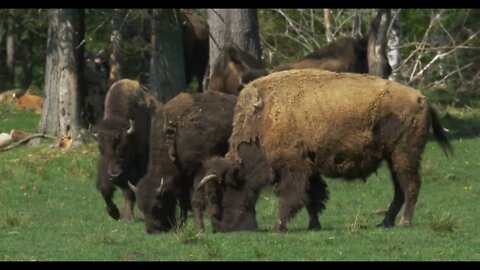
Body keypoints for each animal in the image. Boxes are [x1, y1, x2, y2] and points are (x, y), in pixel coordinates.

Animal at [95, 77, 159, 219]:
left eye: (124, 146)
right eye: (101, 148)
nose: (114, 174)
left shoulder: (136, 167)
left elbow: (129, 190)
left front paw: (127, 217)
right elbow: (105, 189)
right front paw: (114, 213)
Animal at [130, 90, 237, 234]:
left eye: (158, 206)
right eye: (141, 208)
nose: (152, 230)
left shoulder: (198, 171)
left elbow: (195, 201)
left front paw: (199, 228)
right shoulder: (183, 177)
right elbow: (183, 202)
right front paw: (182, 225)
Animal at [197, 68, 452, 231]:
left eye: (221, 194)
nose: (221, 228)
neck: (263, 118)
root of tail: (422, 98)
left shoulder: (294, 167)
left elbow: (290, 196)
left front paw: (278, 227)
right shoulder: (310, 168)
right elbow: (313, 197)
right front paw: (314, 225)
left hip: (404, 155)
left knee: (410, 186)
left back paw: (404, 222)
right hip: (393, 158)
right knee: (400, 189)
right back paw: (386, 222)